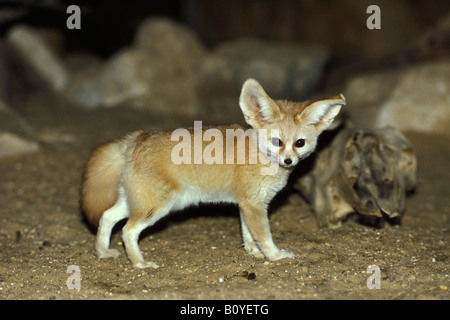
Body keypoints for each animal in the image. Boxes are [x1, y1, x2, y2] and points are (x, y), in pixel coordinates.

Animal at [82, 78, 346, 268]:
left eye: (300, 143)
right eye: (277, 142)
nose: (288, 160)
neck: (259, 154)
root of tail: (137, 137)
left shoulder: (246, 203)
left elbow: (247, 233)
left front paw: (253, 252)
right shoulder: (254, 205)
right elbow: (263, 235)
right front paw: (274, 255)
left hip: (136, 203)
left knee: (106, 217)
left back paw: (102, 252)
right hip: (156, 207)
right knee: (127, 231)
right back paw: (140, 264)